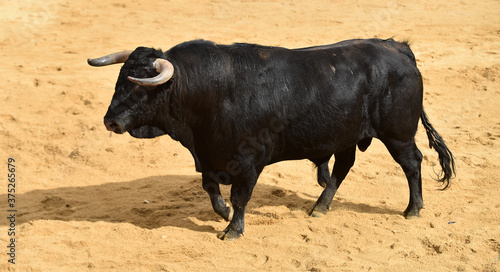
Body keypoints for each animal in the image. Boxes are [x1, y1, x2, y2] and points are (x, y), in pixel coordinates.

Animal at [88, 37, 456, 240]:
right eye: (119, 79)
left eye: (139, 86)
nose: (109, 121)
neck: (206, 91)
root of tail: (398, 49)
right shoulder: (208, 156)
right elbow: (212, 190)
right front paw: (223, 214)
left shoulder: (248, 161)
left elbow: (240, 196)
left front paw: (232, 230)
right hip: (346, 135)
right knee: (342, 167)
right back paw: (320, 207)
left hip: (398, 134)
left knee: (411, 163)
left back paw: (413, 209)